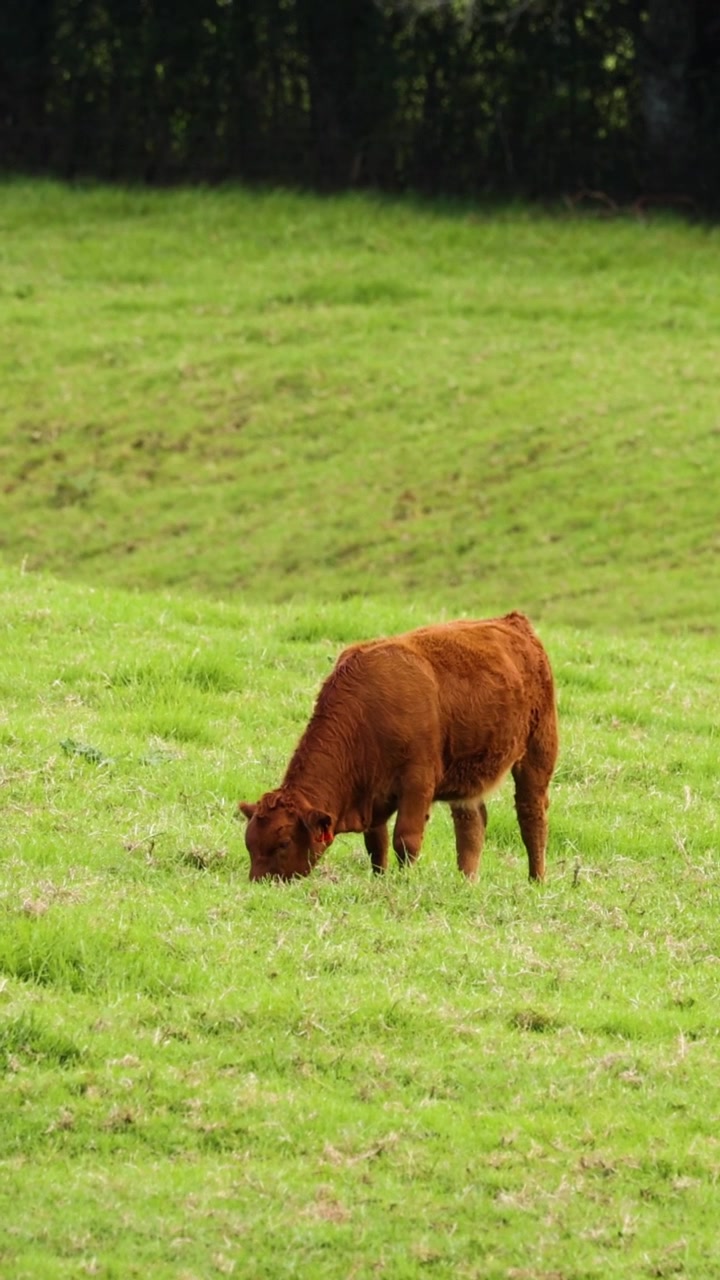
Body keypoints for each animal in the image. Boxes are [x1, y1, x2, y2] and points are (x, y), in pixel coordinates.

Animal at [239, 612, 558, 883]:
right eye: (250, 842)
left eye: (283, 842)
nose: (258, 882)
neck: (368, 712)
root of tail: (513, 622)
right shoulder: (373, 796)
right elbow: (376, 844)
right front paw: (380, 880)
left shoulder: (418, 783)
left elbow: (405, 839)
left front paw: (405, 883)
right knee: (471, 825)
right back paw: (466, 883)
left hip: (538, 752)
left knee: (531, 816)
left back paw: (536, 880)